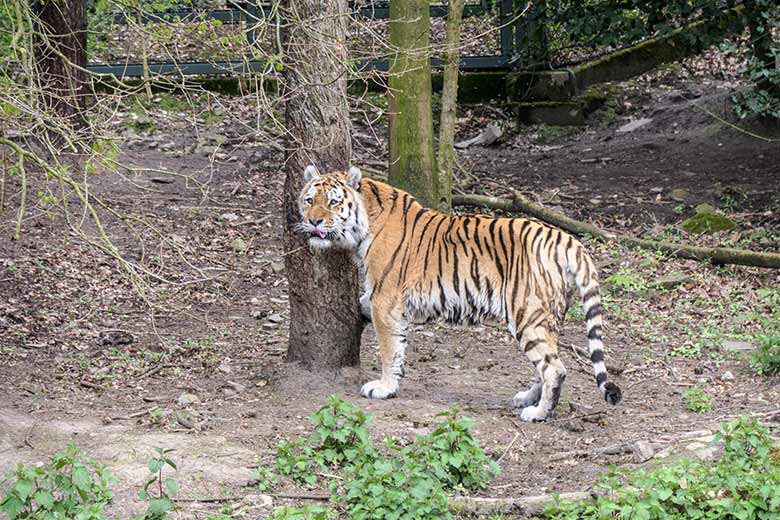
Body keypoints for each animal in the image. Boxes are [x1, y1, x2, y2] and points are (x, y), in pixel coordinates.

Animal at [298, 167, 620, 422]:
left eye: (333, 202)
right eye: (309, 200)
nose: (313, 222)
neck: (362, 224)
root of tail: (566, 238)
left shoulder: (385, 300)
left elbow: (389, 349)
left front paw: (384, 387)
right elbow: (393, 341)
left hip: (527, 314)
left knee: (554, 369)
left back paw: (538, 413)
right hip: (550, 316)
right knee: (546, 363)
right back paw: (527, 398)